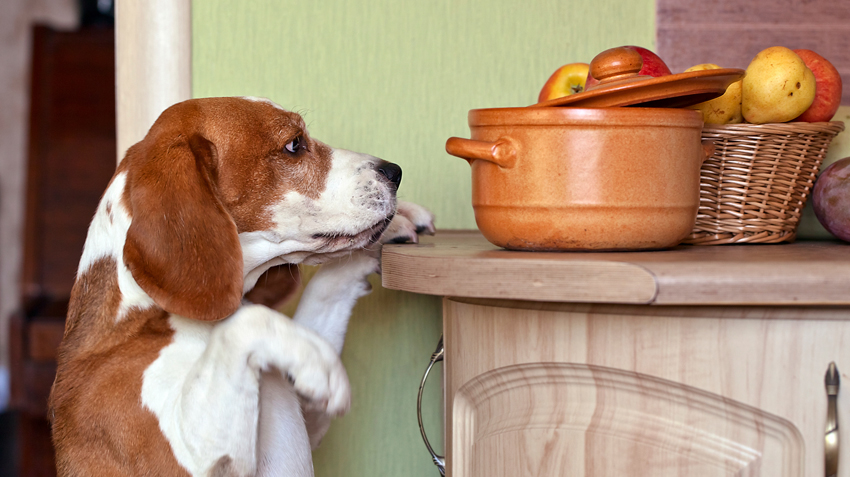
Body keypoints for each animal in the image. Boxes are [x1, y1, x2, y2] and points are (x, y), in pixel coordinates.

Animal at [48, 97, 430, 476]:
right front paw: (318, 363)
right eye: (294, 144)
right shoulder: (187, 456)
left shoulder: (311, 420)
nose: (395, 172)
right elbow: (248, 321)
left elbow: (325, 291)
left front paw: (396, 224)